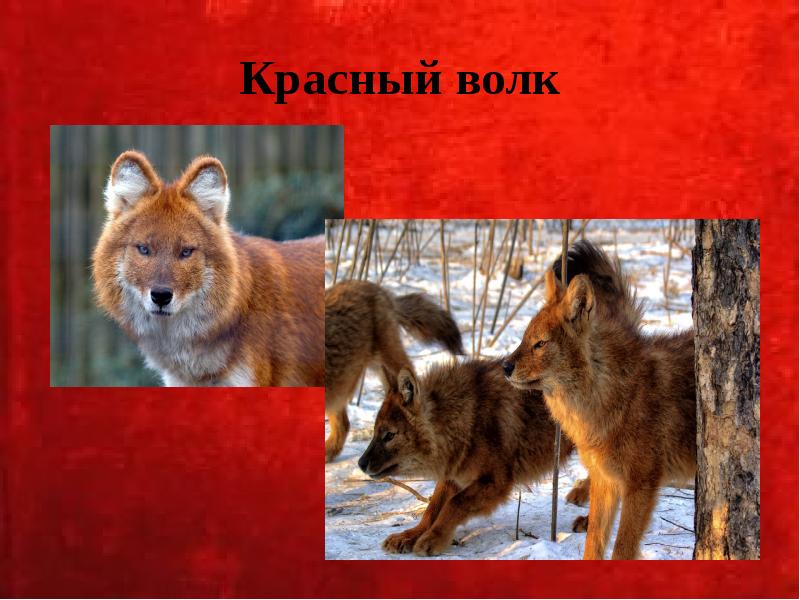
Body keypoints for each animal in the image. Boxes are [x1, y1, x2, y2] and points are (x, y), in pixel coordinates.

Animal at [357, 359, 588, 556]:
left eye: (389, 435)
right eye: (375, 432)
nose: (360, 464)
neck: (465, 419)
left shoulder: (495, 482)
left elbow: (455, 504)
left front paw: (433, 539)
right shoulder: (454, 474)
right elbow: (431, 509)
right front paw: (409, 535)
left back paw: (586, 520)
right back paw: (580, 495)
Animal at [503, 241, 696, 559]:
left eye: (539, 343)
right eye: (523, 339)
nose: (504, 366)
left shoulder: (641, 485)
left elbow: (622, 548)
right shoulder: (606, 481)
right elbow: (594, 543)